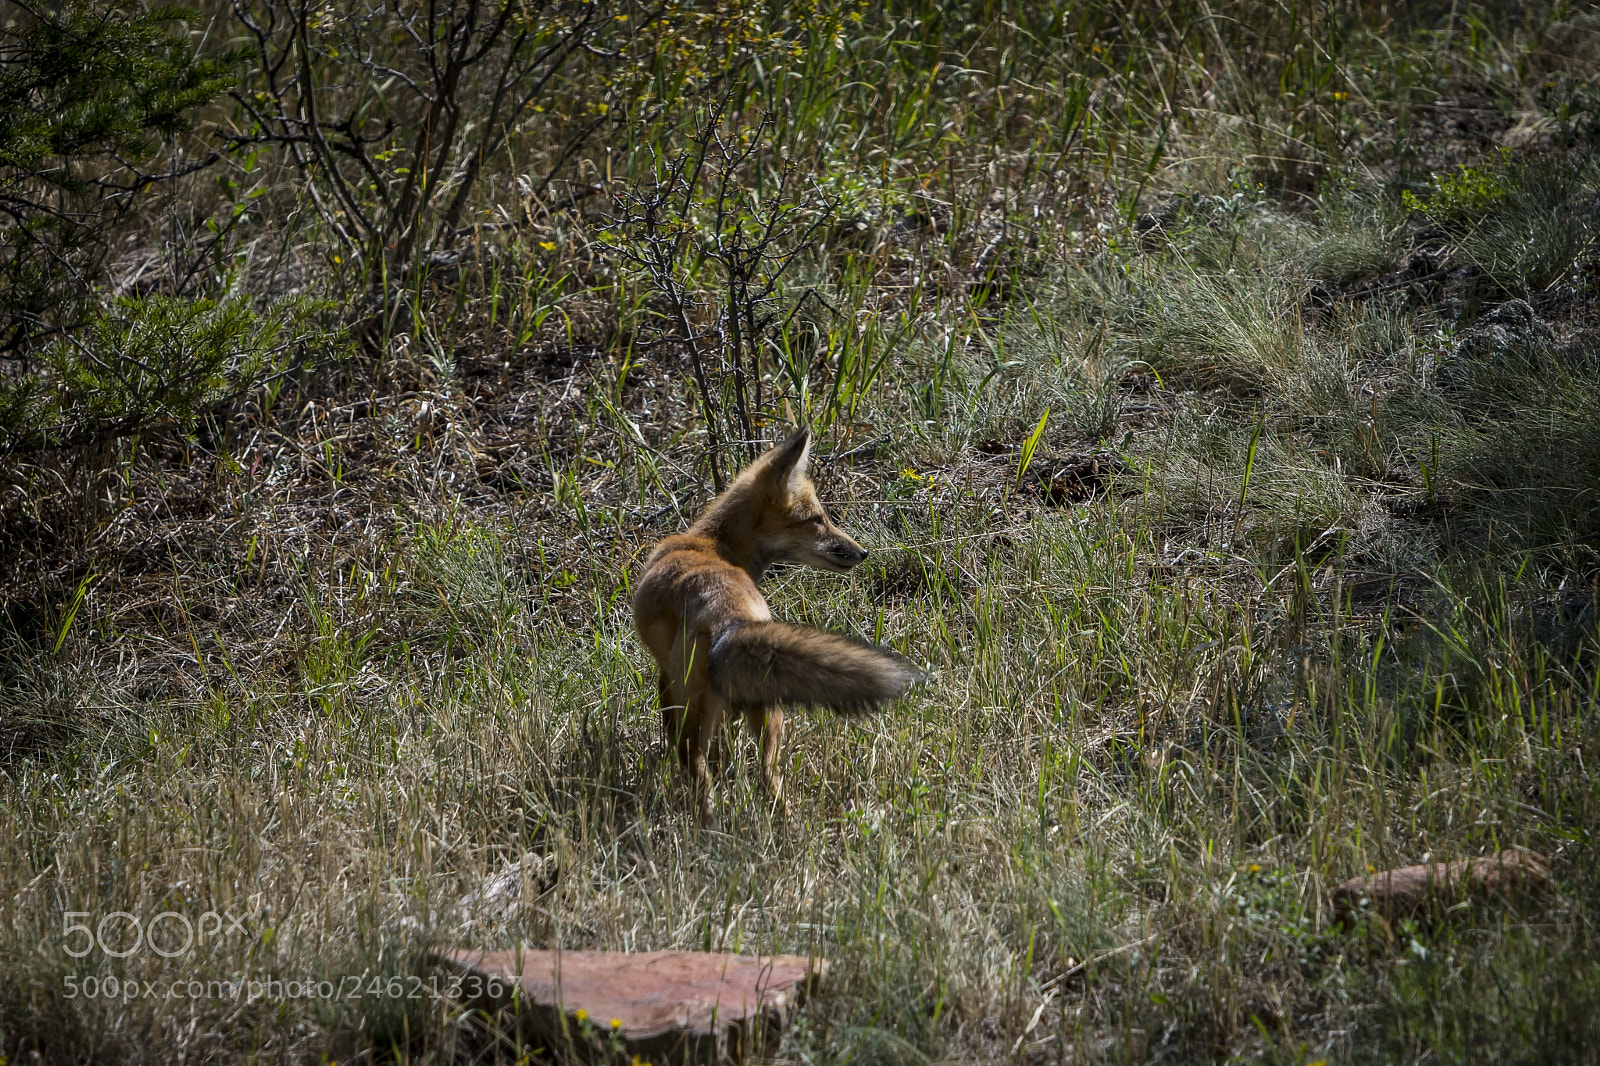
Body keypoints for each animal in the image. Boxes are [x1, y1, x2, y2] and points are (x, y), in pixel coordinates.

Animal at [632, 428, 919, 815]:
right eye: (817, 519)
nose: (863, 552)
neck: (708, 544)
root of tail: (731, 619)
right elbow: (726, 752)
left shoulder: (666, 679)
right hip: (769, 711)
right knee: (768, 779)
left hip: (698, 713)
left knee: (700, 774)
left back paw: (707, 824)